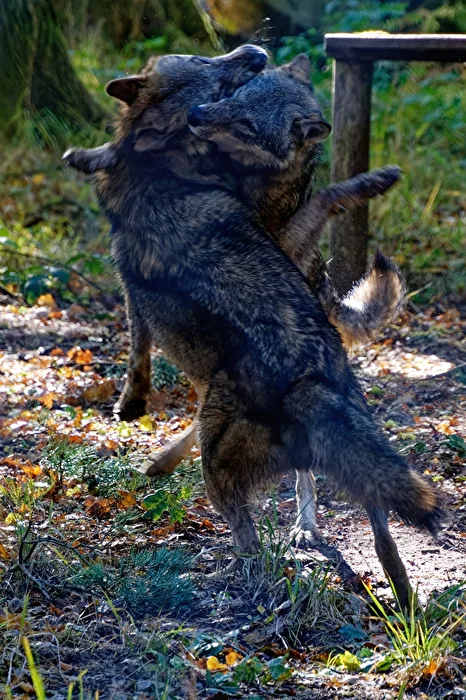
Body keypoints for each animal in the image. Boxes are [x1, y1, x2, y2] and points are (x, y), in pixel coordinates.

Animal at [64, 48, 442, 608]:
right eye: (221, 85)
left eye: (237, 111)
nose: (256, 52)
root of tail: (305, 380)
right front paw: (87, 154)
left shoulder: (142, 275)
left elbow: (137, 348)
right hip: (353, 451)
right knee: (378, 527)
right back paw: (400, 596)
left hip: (221, 467)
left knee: (253, 541)